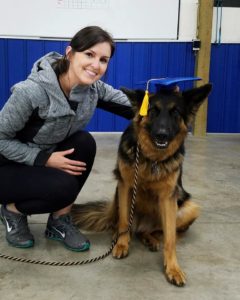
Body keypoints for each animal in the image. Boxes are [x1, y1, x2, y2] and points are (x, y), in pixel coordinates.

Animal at [71, 83, 212, 288]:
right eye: (153, 111)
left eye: (175, 112)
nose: (162, 134)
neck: (152, 159)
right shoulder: (125, 186)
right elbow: (123, 221)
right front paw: (122, 244)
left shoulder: (168, 197)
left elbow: (170, 238)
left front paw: (173, 268)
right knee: (122, 225)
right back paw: (120, 236)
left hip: (189, 208)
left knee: (156, 231)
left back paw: (149, 238)